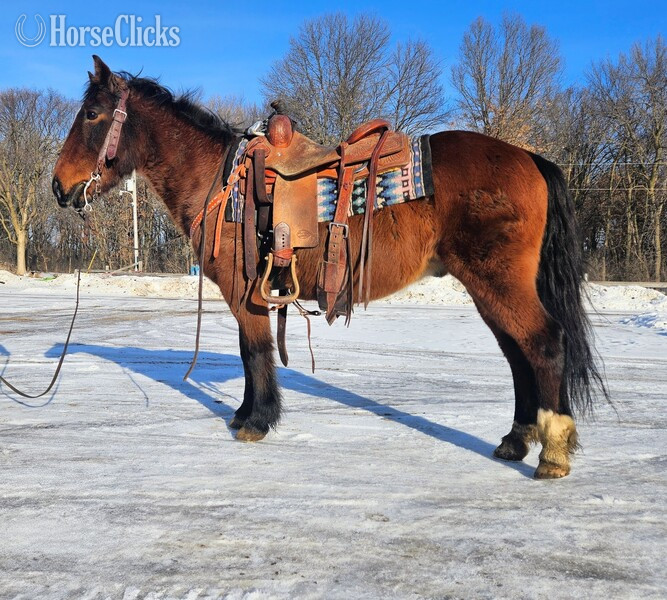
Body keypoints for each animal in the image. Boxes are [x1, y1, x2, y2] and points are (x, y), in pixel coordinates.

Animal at [52, 56, 607, 479]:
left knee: (543, 344)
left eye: (93, 113)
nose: (59, 186)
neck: (221, 181)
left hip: (498, 283)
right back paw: (516, 441)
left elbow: (255, 352)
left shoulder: (244, 291)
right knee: (518, 355)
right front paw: (245, 414)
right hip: (491, 289)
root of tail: (529, 158)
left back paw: (553, 454)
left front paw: (256, 421)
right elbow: (250, 352)